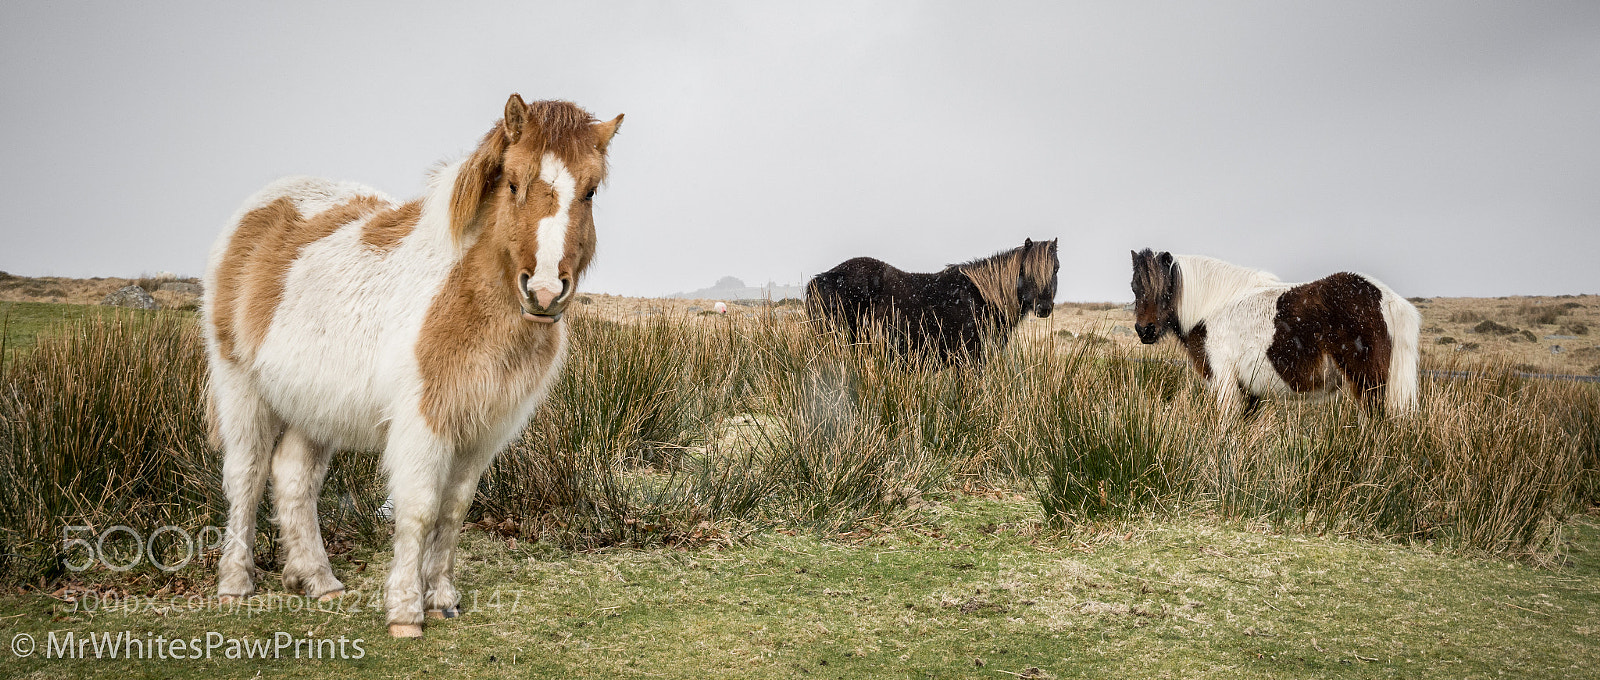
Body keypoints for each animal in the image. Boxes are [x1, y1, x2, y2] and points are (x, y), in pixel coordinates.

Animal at [203, 94, 623, 638]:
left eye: (589, 192)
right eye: (513, 182)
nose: (545, 292)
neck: (466, 296)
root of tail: (260, 208)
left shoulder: (481, 431)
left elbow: (454, 510)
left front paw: (441, 598)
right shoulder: (424, 423)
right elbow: (419, 510)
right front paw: (405, 612)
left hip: (313, 408)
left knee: (293, 478)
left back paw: (319, 581)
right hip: (241, 389)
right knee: (246, 476)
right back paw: (236, 584)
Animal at [805, 238, 1059, 365]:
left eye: (1056, 268)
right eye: (1025, 271)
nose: (1043, 308)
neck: (981, 295)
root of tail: (819, 280)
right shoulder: (969, 360)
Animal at [1129, 249, 1420, 417]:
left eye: (1167, 288)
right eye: (1134, 286)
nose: (1146, 330)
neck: (1213, 306)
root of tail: (1386, 298)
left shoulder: (1225, 383)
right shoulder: (1248, 392)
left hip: (1368, 383)